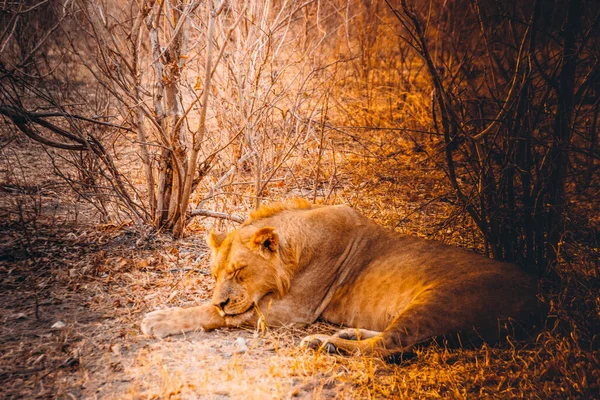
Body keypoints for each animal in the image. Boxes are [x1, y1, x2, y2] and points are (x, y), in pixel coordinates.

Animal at [142, 200, 540, 356]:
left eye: (240, 272)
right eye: (214, 274)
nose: (222, 298)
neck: (297, 249)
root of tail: (537, 297)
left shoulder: (291, 312)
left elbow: (209, 313)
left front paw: (159, 319)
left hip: (439, 301)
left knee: (386, 347)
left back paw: (326, 344)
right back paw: (344, 335)